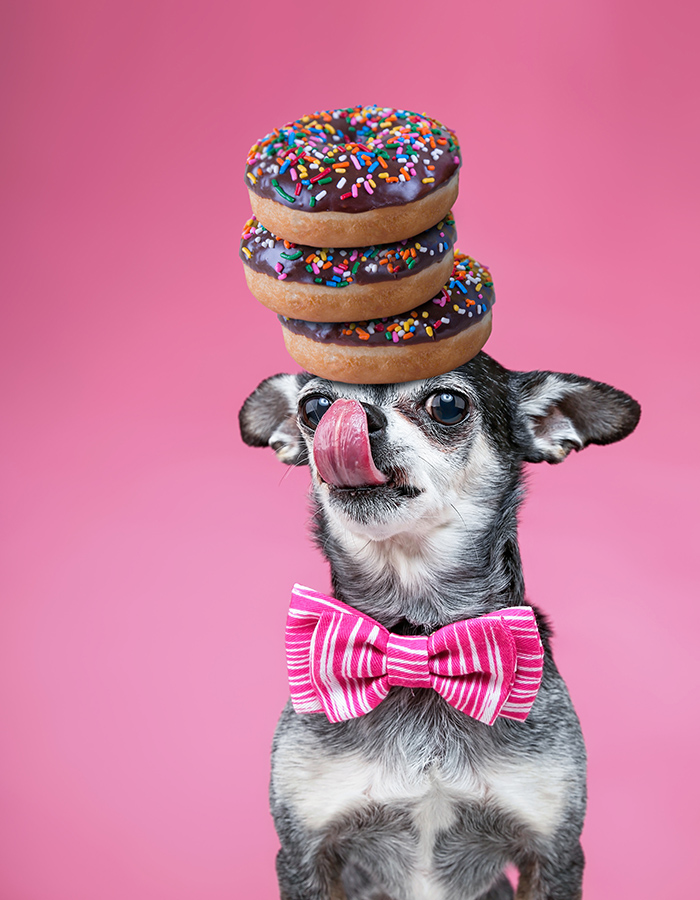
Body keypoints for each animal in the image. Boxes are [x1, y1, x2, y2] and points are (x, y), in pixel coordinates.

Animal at [239, 354, 640, 900]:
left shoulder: (552, 854)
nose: (353, 418)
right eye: (315, 406)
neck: (415, 635)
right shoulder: (306, 852)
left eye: (447, 405)